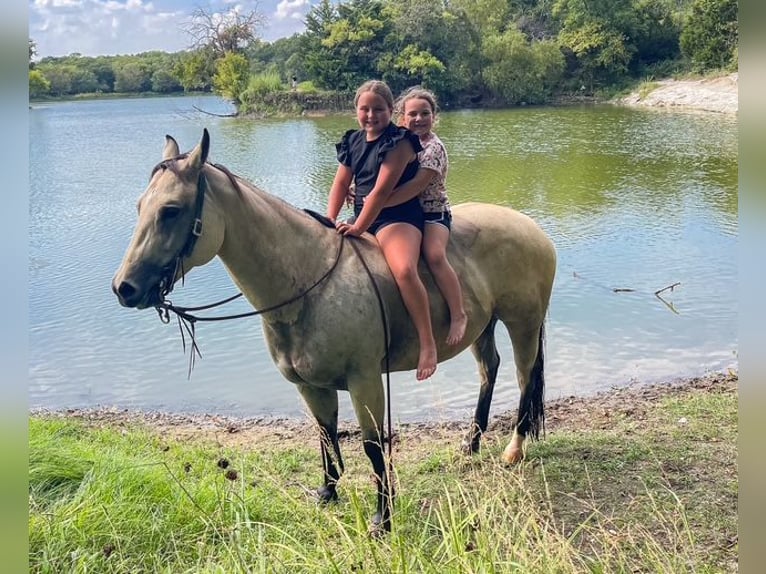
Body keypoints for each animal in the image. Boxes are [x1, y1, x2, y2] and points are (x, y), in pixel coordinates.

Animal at [112, 129, 556, 533]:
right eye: (140, 206)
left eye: (171, 210)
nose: (124, 288)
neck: (310, 283)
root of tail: (533, 228)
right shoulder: (310, 386)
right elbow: (326, 436)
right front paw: (327, 492)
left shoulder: (365, 381)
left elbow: (373, 447)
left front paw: (382, 519)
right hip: (483, 326)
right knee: (489, 370)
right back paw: (471, 443)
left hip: (523, 324)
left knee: (523, 378)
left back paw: (513, 450)